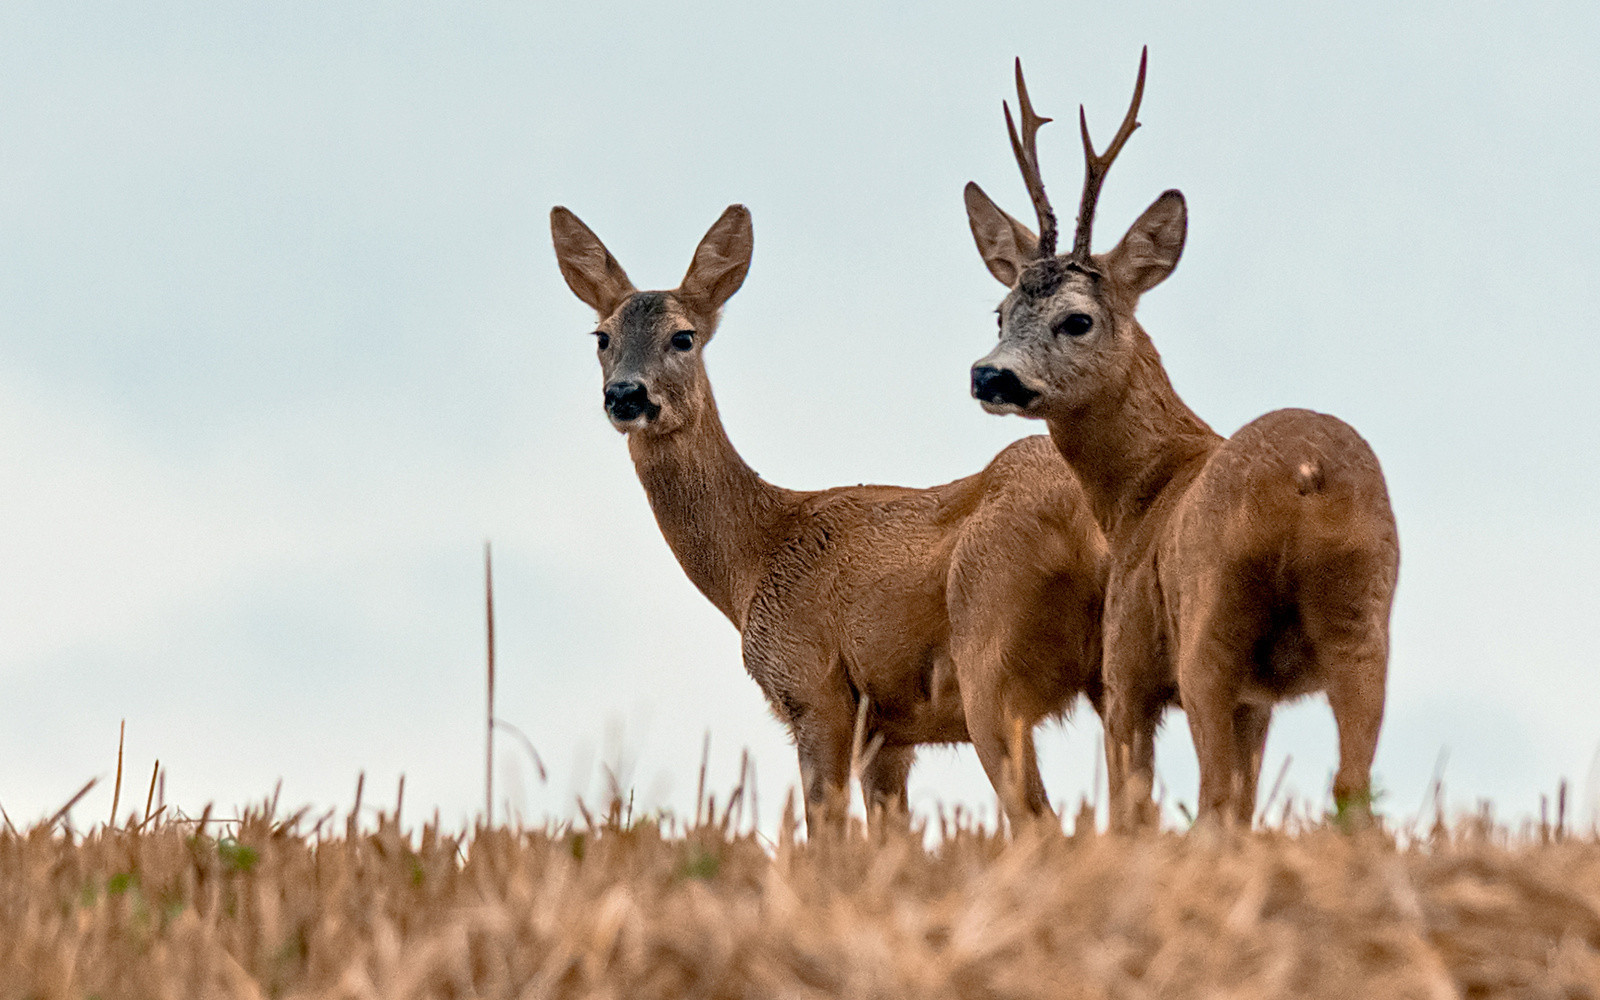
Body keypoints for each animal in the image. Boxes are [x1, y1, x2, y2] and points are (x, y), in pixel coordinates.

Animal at [550, 204, 1100, 832]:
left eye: (683, 337)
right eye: (603, 336)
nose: (626, 394)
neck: (757, 556)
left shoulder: (813, 688)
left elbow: (825, 833)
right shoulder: (888, 734)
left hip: (991, 662)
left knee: (1039, 819)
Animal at [960, 54, 1401, 832]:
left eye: (1077, 319)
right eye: (1002, 310)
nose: (991, 375)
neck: (1143, 487)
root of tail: (1306, 477)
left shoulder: (1128, 666)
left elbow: (1130, 809)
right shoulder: (1261, 700)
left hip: (1210, 623)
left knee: (1214, 793)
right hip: (1364, 619)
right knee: (1350, 787)